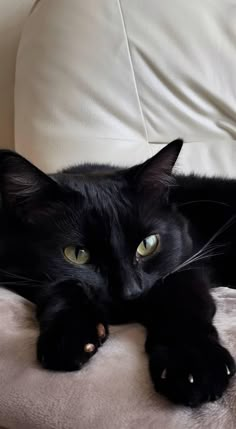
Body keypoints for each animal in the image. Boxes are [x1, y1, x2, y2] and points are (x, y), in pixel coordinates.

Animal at [0, 140, 236, 404]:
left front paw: (194, 364)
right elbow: (62, 285)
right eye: (77, 254)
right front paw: (69, 335)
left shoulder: (187, 262)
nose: (130, 293)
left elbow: (181, 300)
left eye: (148, 244)